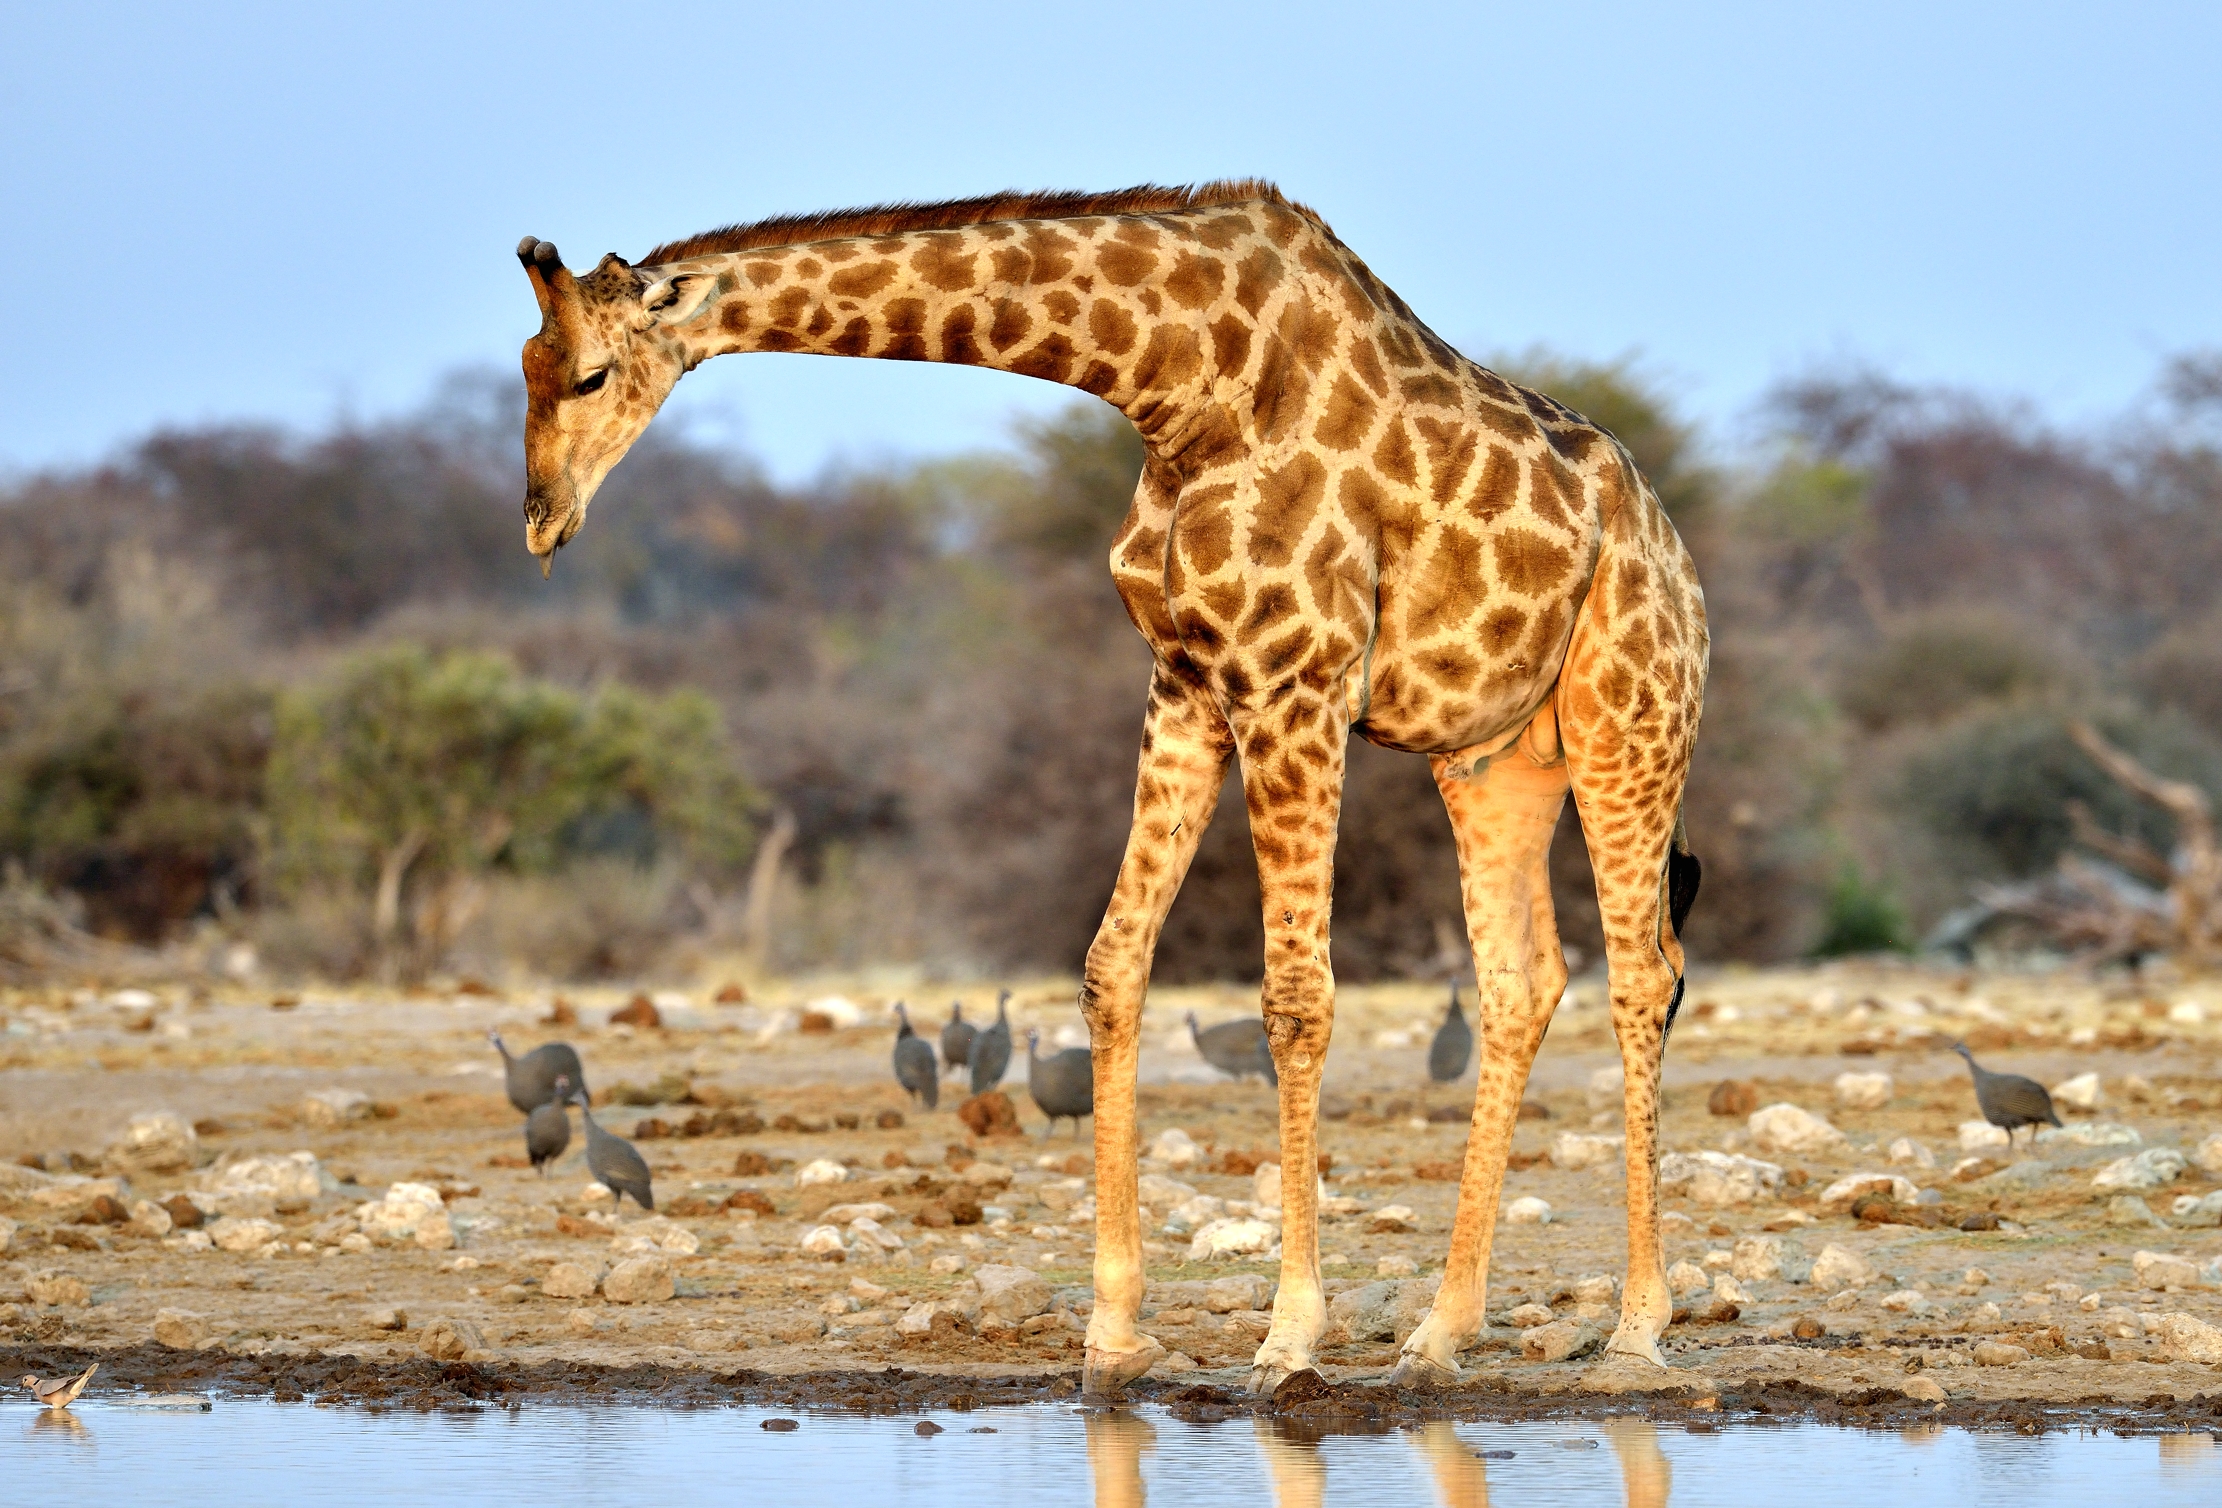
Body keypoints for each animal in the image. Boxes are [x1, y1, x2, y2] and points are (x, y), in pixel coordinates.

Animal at [512, 181, 1708, 1395]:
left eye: (591, 374)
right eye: (525, 364)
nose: (542, 519)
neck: (1178, 381)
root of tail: (1670, 546)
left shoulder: (1295, 683)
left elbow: (1295, 998)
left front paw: (1287, 1338)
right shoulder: (1184, 683)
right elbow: (1109, 968)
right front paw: (1114, 1334)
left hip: (1629, 718)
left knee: (1641, 972)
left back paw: (1634, 1330)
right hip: (1493, 755)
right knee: (1523, 978)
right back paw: (1439, 1334)